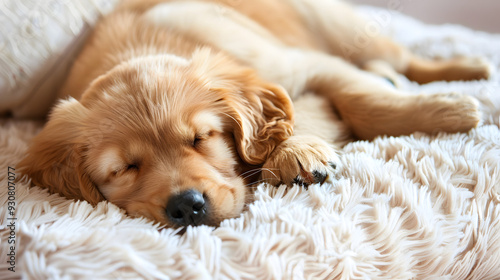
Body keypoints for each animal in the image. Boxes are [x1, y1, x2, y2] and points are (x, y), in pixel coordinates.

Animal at [18, 0, 488, 228]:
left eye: (201, 138)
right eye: (123, 169)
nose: (187, 207)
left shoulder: (301, 64)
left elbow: (359, 100)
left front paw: (452, 111)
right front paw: (295, 151)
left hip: (345, 29)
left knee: (405, 60)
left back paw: (468, 69)